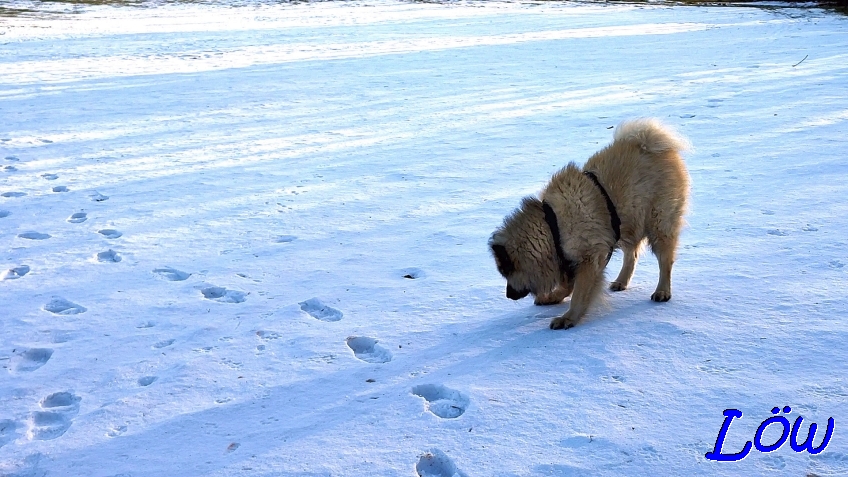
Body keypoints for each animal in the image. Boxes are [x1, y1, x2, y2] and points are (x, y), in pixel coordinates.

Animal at [490, 117, 688, 330]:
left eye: (506, 272)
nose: (508, 294)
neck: (552, 226)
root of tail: (653, 144)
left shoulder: (589, 258)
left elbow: (579, 293)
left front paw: (568, 318)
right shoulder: (569, 258)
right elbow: (568, 285)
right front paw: (552, 298)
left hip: (659, 222)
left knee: (665, 260)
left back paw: (662, 291)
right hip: (629, 222)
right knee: (631, 255)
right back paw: (621, 281)